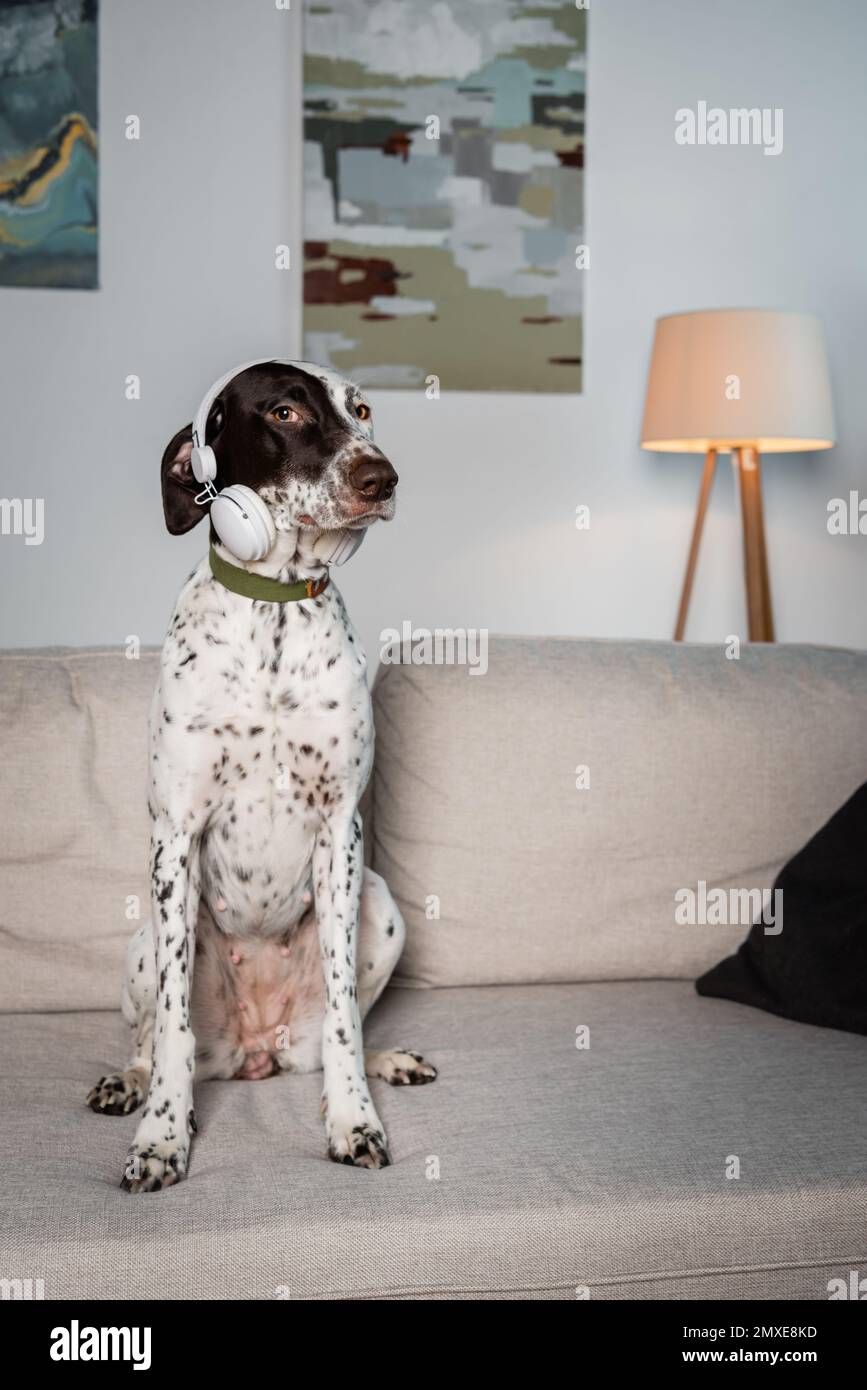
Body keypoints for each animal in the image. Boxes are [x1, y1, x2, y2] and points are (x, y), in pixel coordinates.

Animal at [89, 361, 433, 1195]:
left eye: (361, 410)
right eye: (283, 412)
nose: (382, 477)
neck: (273, 612)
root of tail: (256, 1052)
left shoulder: (340, 832)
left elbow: (343, 1021)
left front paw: (353, 1117)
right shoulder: (176, 835)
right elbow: (172, 1028)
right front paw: (162, 1136)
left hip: (382, 908)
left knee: (337, 1032)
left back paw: (381, 1063)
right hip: (142, 941)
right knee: (149, 1035)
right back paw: (130, 1082)